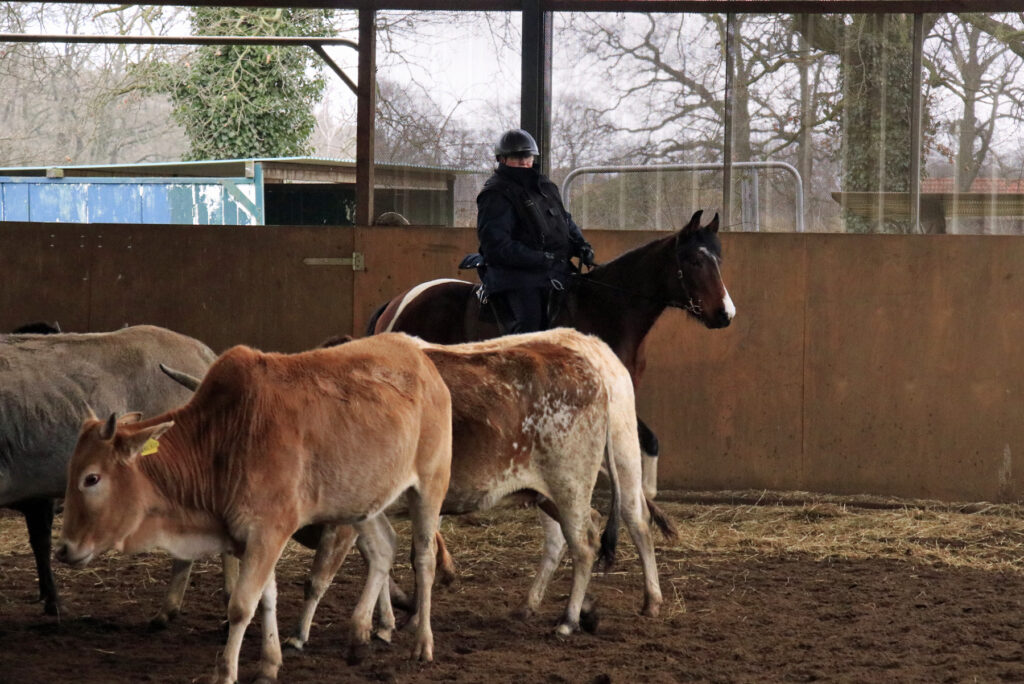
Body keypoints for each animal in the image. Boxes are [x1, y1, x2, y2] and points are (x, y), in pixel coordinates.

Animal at [57, 333, 452, 684]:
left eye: (92, 478)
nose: (64, 549)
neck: (223, 438)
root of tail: (421, 359)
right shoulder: (252, 537)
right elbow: (267, 598)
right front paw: (269, 664)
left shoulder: (268, 531)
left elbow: (242, 605)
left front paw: (227, 672)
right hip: (360, 504)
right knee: (383, 549)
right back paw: (359, 637)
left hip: (430, 485)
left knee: (424, 559)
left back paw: (422, 643)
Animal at [364, 208, 733, 497]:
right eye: (694, 260)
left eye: (719, 260)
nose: (724, 314)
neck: (605, 310)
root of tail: (399, 302)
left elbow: (649, 442)